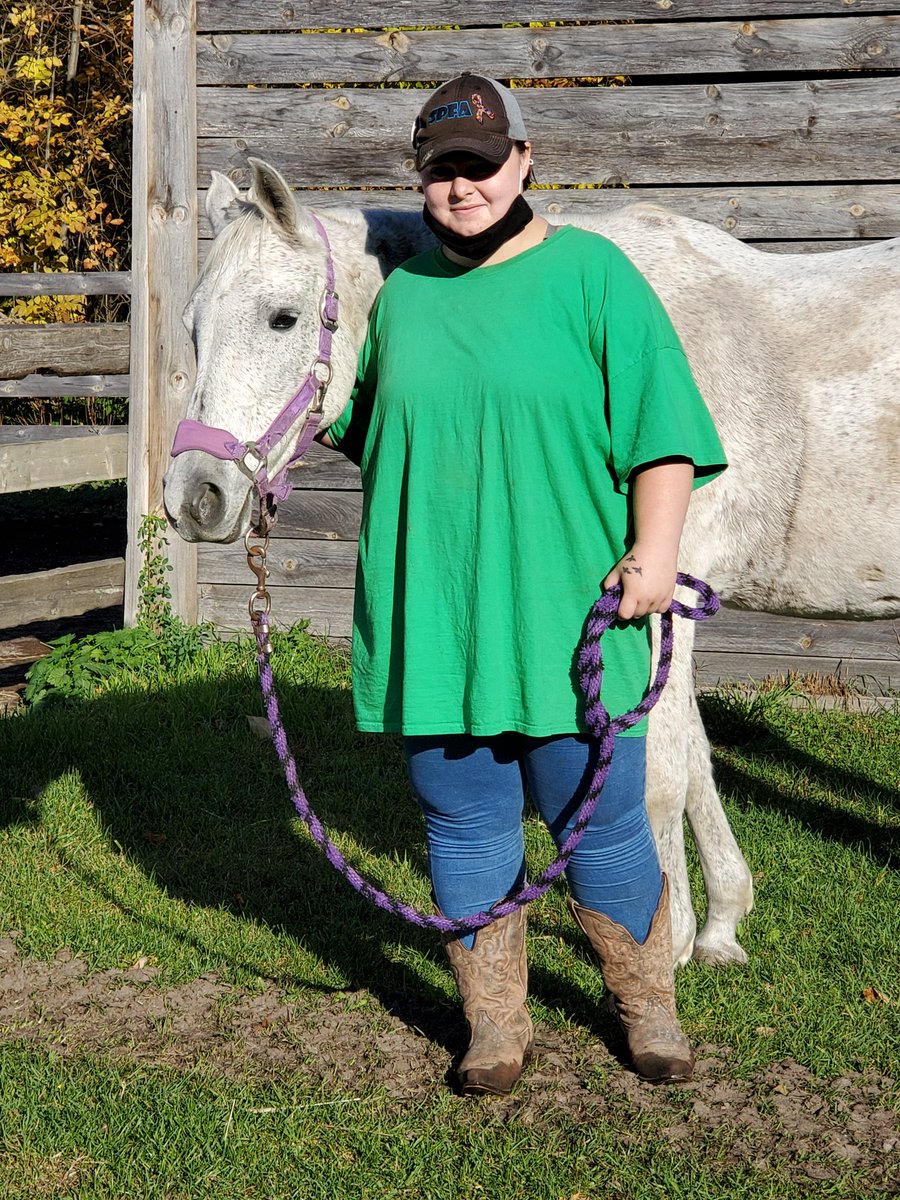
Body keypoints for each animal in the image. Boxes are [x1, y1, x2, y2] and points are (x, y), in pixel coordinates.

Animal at [163, 158, 900, 967]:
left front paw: (667, 942)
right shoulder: (675, 614)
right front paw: (719, 926)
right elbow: (697, 760)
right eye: (193, 328)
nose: (193, 497)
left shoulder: (656, 604)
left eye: (283, 318)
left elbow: (661, 778)